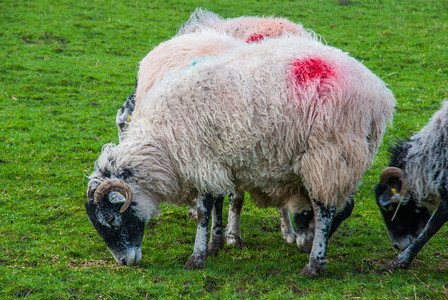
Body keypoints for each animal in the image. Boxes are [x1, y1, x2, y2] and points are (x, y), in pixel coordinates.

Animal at [87, 35, 396, 276]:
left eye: (110, 218)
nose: (125, 262)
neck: (162, 145)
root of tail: (379, 95)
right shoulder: (218, 162)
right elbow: (219, 204)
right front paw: (215, 244)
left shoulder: (202, 161)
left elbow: (204, 211)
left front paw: (196, 257)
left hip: (327, 154)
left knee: (325, 208)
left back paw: (314, 263)